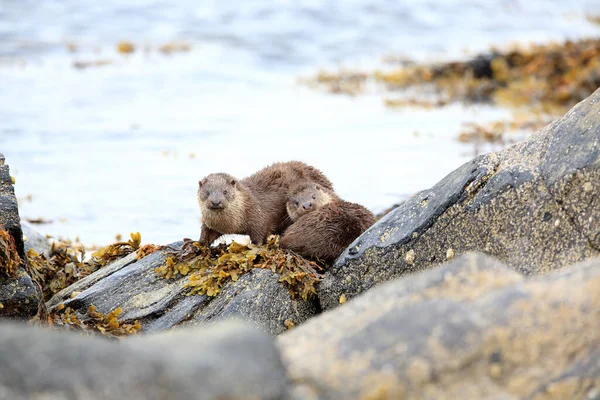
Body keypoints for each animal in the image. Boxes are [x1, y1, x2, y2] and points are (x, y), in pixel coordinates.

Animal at [198, 161, 332, 245]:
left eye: (225, 191)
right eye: (207, 192)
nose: (216, 202)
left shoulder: (257, 215)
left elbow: (260, 233)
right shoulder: (211, 224)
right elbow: (206, 233)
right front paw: (197, 245)